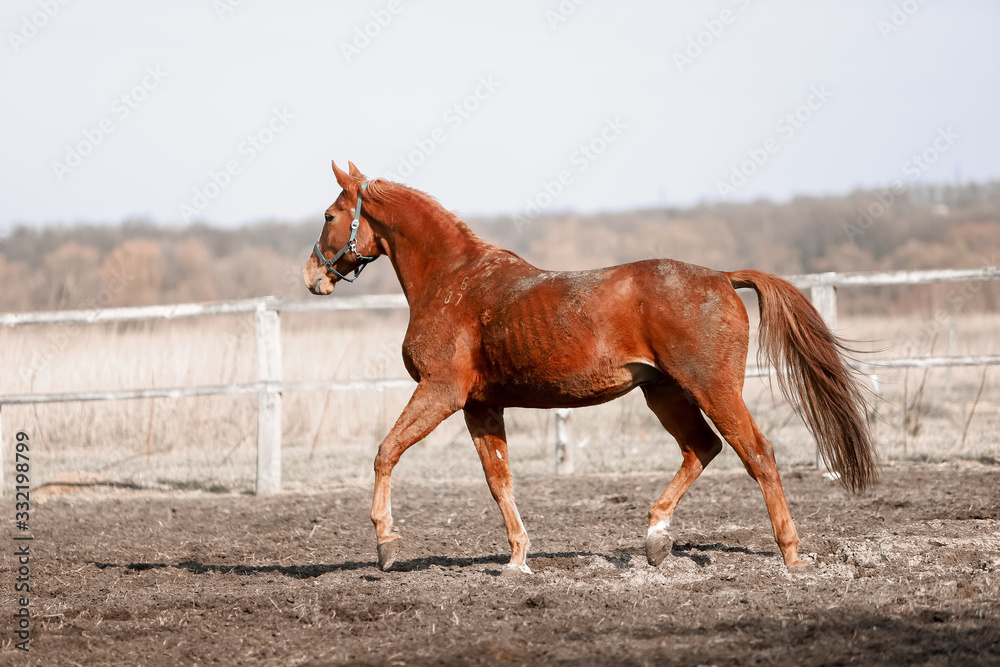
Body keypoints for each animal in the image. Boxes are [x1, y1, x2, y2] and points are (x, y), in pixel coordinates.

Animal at [303, 160, 877, 574]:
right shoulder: (480, 406)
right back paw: (655, 540)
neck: (454, 281)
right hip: (664, 392)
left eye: (329, 215)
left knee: (756, 453)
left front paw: (386, 543)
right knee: (702, 448)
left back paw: (790, 553)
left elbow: (386, 452)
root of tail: (721, 277)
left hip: (712, 388)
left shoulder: (440, 392)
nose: (312, 276)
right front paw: (517, 559)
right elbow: (499, 481)